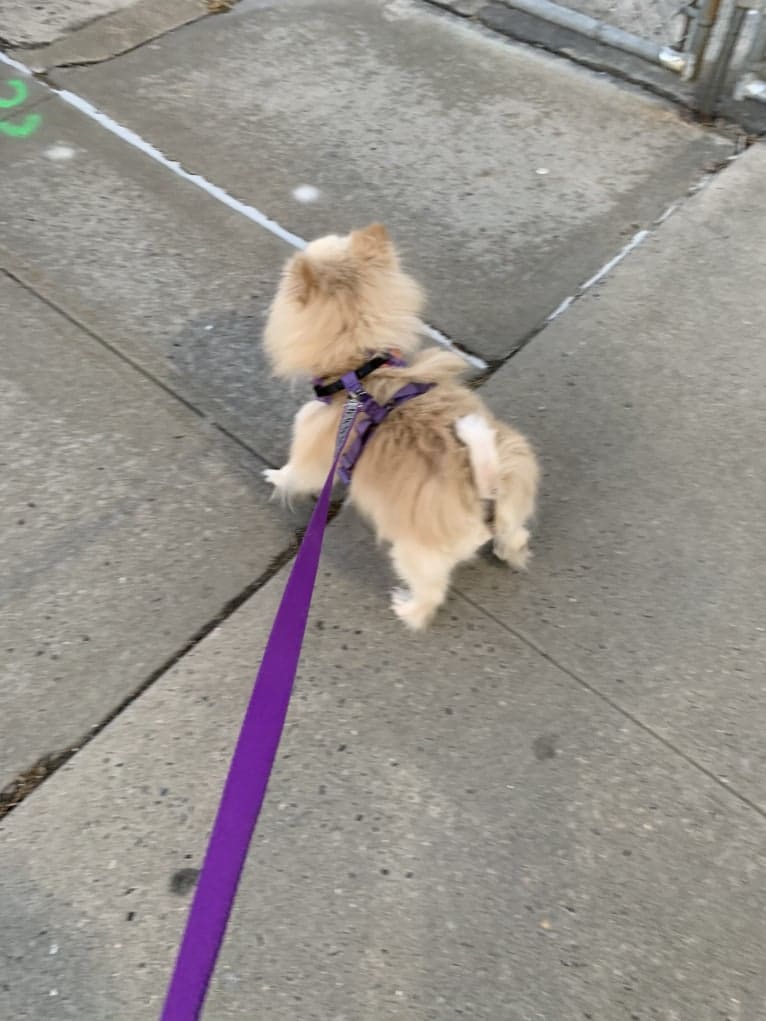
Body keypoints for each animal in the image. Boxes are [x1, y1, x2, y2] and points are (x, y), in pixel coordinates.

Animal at [263, 223, 539, 628]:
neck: (360, 371)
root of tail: (485, 490)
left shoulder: (311, 453)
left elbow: (293, 474)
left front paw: (274, 476)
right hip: (510, 510)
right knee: (514, 538)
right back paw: (509, 553)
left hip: (413, 554)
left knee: (430, 594)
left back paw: (407, 609)